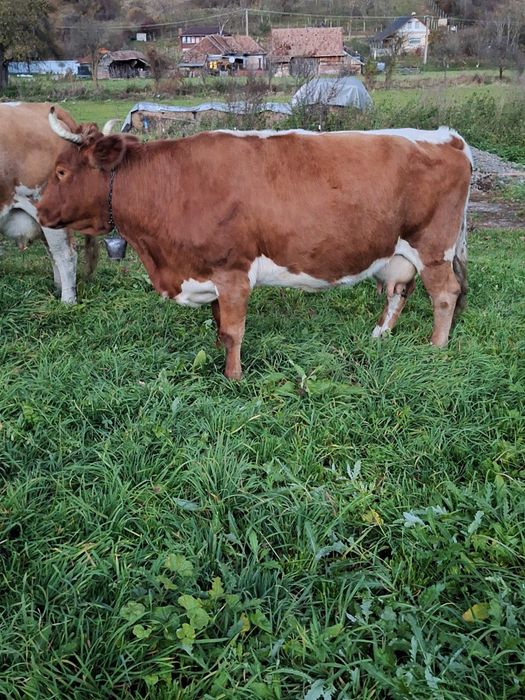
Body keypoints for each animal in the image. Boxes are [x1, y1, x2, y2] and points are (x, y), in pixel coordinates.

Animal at [38, 108, 472, 379]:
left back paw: (436, 348)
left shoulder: (233, 272)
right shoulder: (208, 273)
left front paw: (233, 377)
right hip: (398, 251)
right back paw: (379, 336)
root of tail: (447, 136)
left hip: (434, 247)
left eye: (60, 171)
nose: (39, 211)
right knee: (399, 290)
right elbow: (217, 323)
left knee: (445, 294)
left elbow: (233, 330)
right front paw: (217, 355)